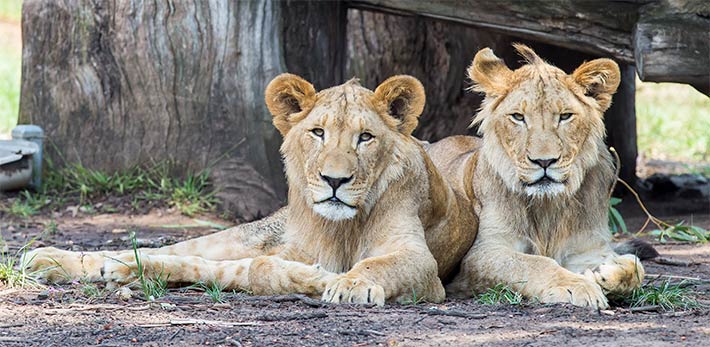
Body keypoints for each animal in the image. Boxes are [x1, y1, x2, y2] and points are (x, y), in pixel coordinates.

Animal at [23, 74, 478, 308]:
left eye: (365, 138)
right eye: (318, 133)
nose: (335, 181)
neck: (338, 229)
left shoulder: (423, 266)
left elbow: (377, 264)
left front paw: (349, 284)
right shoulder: (288, 249)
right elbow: (258, 270)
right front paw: (317, 278)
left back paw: (117, 267)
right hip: (251, 234)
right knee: (173, 250)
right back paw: (51, 258)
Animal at [444, 44, 652, 308]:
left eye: (565, 116)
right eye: (518, 117)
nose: (544, 161)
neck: (548, 206)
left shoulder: (587, 248)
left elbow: (636, 269)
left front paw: (605, 274)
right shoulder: (482, 252)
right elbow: (534, 263)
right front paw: (576, 286)